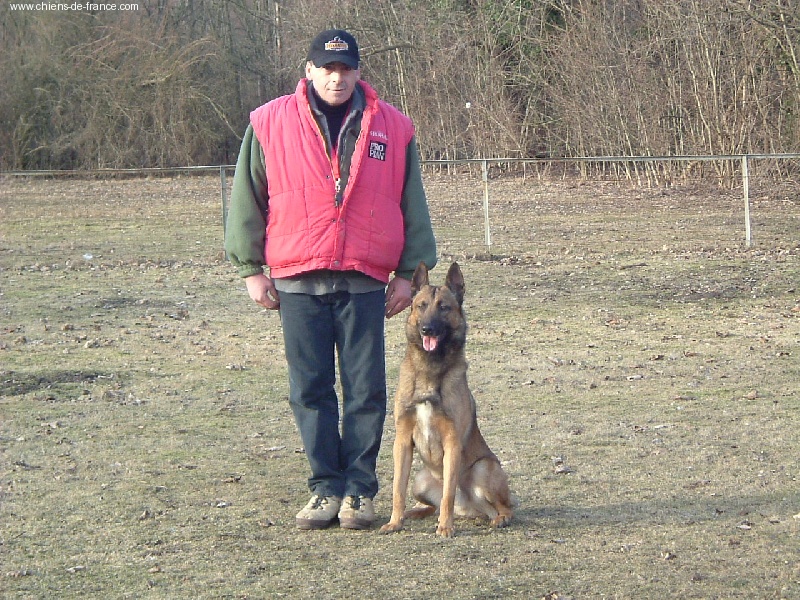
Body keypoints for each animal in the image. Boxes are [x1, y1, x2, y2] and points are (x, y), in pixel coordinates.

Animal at [380, 262, 512, 540]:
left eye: (444, 307)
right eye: (421, 306)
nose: (427, 329)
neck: (430, 368)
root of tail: (471, 508)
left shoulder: (452, 442)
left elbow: (448, 494)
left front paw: (445, 527)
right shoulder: (402, 441)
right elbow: (398, 489)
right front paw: (395, 522)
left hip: (483, 468)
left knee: (502, 507)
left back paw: (500, 518)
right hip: (420, 482)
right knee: (430, 503)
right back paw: (413, 512)